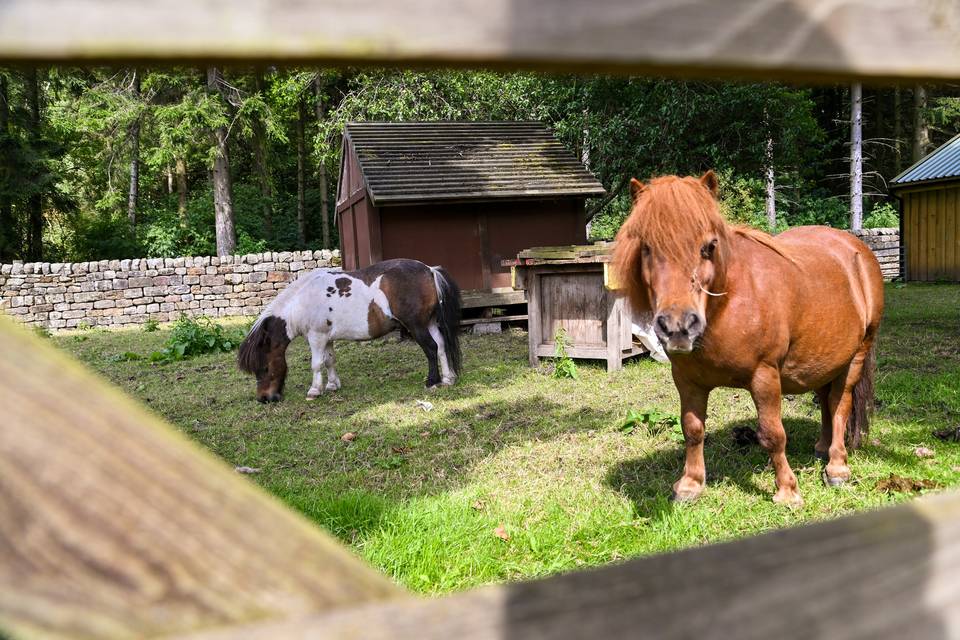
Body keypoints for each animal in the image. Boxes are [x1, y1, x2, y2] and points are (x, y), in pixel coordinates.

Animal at [620, 172, 880, 508]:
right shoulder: (687, 380)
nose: (678, 326)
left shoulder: (765, 376)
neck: (727, 305)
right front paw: (690, 485)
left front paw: (787, 490)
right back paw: (822, 448)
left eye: (709, 246)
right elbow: (692, 429)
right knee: (825, 399)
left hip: (857, 355)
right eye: (647, 248)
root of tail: (856, 248)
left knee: (839, 404)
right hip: (825, 358)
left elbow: (773, 434)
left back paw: (837, 466)